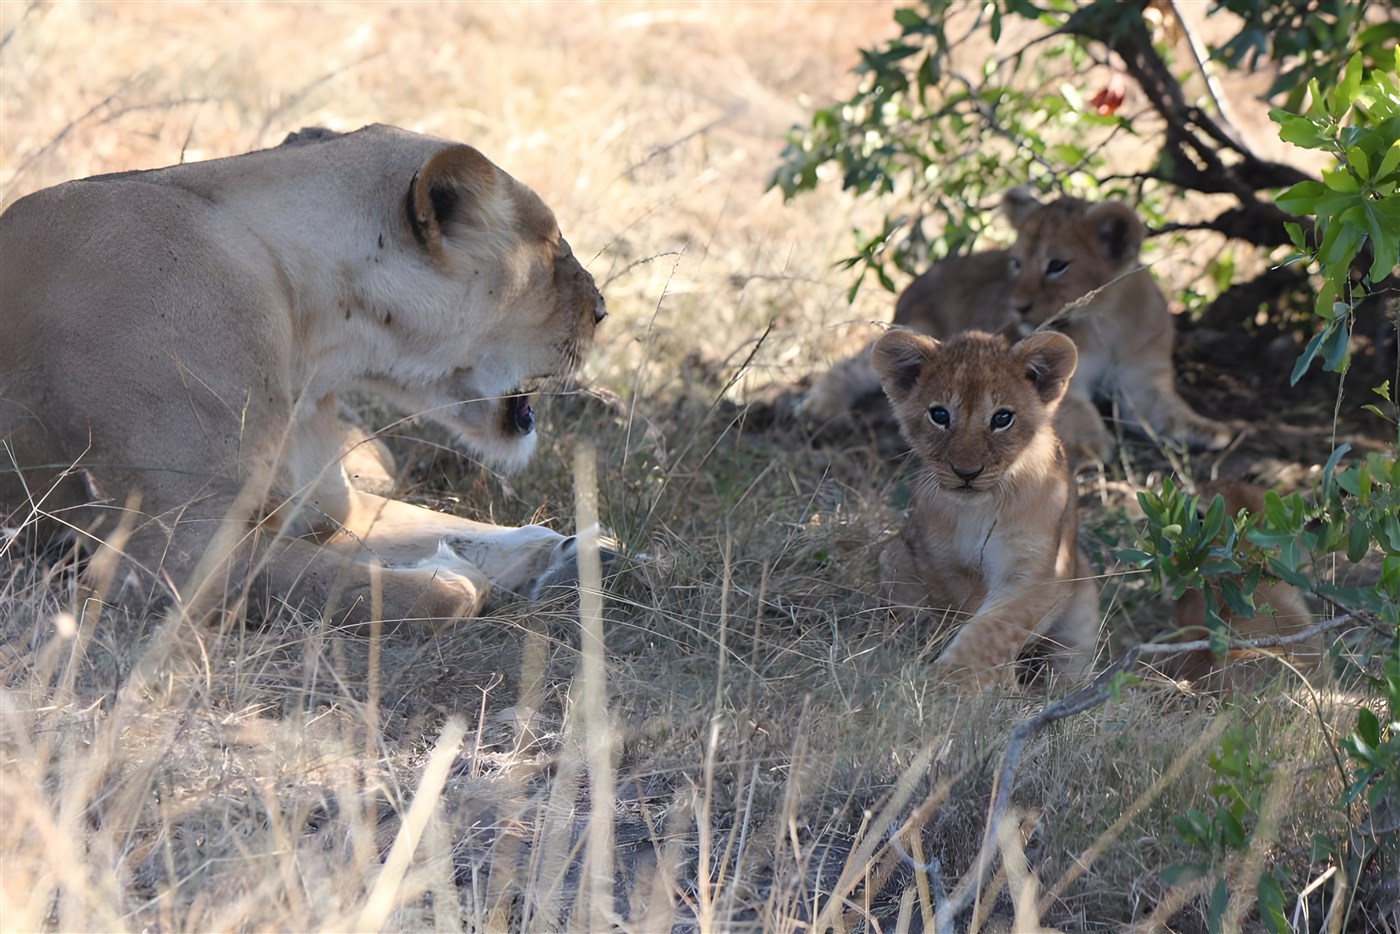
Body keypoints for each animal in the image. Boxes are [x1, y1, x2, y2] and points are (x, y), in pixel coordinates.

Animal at [1, 124, 607, 626]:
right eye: (553, 249)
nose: (603, 311)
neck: (315, 342)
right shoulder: (167, 557)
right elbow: (425, 593)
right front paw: (456, 573)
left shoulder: (334, 509)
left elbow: (455, 529)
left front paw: (570, 551)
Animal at [803, 188, 1233, 462]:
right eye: (1016, 263)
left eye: (1057, 265)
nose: (1018, 306)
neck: (1105, 320)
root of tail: (918, 279)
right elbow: (1074, 409)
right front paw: (1090, 445)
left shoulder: (1143, 381)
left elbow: (1169, 410)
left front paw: (1210, 430)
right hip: (921, 338)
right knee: (854, 367)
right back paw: (821, 409)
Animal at [872, 328, 1101, 688]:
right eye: (939, 415)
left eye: (1002, 418)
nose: (966, 473)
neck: (979, 510)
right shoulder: (923, 558)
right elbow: (952, 611)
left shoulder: (1038, 573)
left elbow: (993, 628)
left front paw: (950, 683)